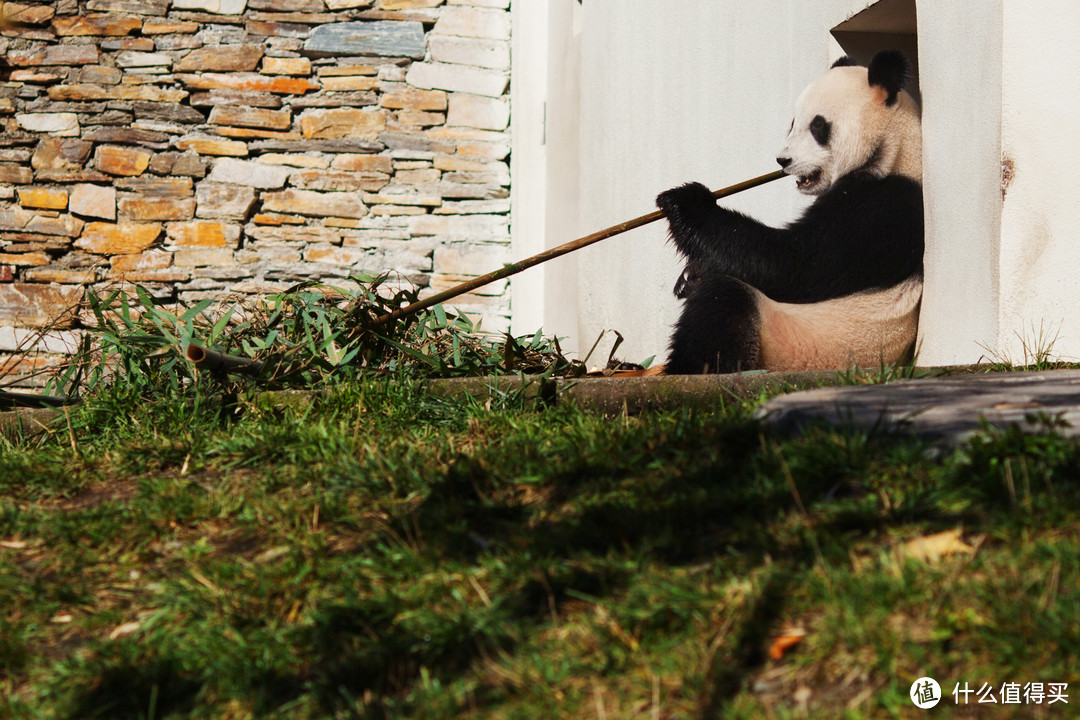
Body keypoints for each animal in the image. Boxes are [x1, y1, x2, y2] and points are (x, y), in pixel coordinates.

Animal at [652, 49, 924, 375]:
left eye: (818, 126)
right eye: (793, 123)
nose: (783, 160)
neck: (896, 145)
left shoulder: (881, 207)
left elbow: (790, 262)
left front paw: (684, 202)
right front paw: (689, 276)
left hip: (805, 345)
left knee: (725, 301)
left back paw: (688, 367)